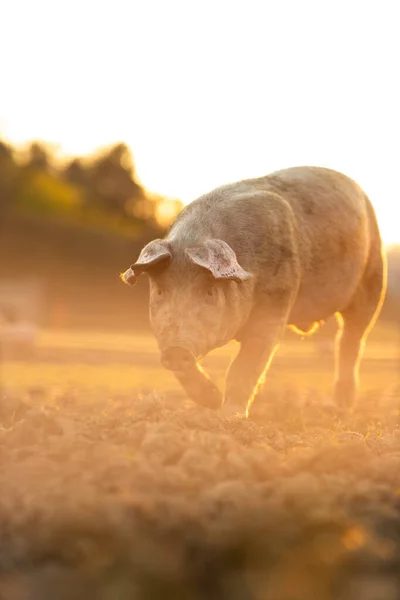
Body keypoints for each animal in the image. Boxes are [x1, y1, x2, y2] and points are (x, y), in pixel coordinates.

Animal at [119, 166, 388, 414]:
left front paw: (229, 417)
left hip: (374, 279)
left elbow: (244, 367)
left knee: (351, 341)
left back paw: (341, 406)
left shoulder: (274, 308)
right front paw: (213, 401)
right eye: (161, 291)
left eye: (209, 292)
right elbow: (187, 372)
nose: (176, 350)